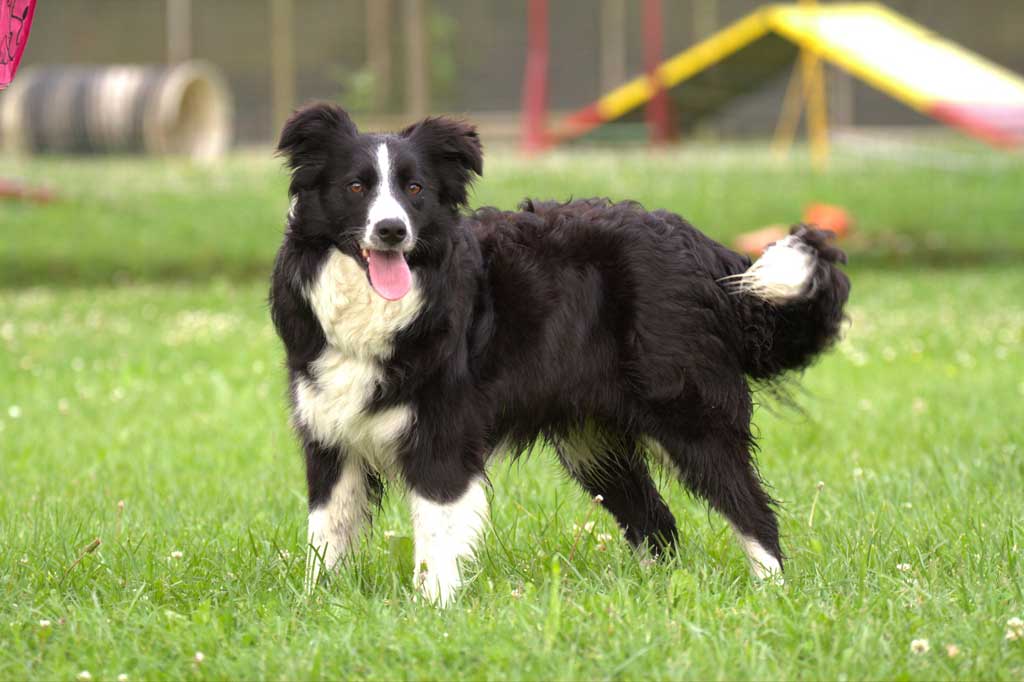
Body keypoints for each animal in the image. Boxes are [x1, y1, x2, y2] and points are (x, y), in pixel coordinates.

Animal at [268, 100, 851, 602]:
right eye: (356, 186)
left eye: (414, 188)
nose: (391, 230)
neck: (381, 307)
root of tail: (701, 250)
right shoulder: (330, 431)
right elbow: (326, 531)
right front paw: (316, 604)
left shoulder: (443, 433)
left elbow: (435, 535)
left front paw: (431, 610)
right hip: (590, 438)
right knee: (656, 521)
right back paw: (652, 594)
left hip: (686, 410)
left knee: (750, 509)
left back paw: (771, 592)